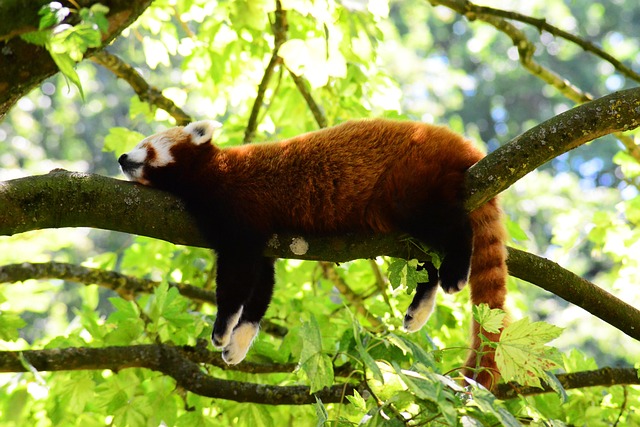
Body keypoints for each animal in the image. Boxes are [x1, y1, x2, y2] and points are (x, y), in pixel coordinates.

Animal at [119, 118, 510, 390]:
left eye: (145, 145)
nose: (122, 157)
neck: (208, 173)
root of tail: (456, 142)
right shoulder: (263, 242)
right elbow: (261, 287)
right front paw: (239, 343)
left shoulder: (239, 212)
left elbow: (237, 278)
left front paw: (222, 328)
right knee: (423, 258)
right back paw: (420, 307)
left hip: (410, 180)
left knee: (452, 226)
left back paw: (456, 270)